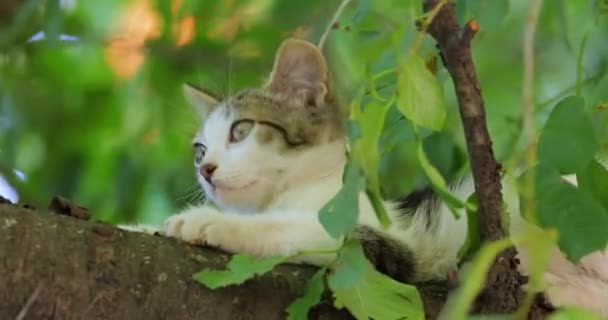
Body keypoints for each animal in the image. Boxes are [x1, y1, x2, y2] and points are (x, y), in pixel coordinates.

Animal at [132, 39, 608, 316]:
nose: (206, 170)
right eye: (199, 150)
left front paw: (204, 220)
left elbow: (286, 228)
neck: (297, 190)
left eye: (241, 130)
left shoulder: (384, 241)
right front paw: (143, 226)